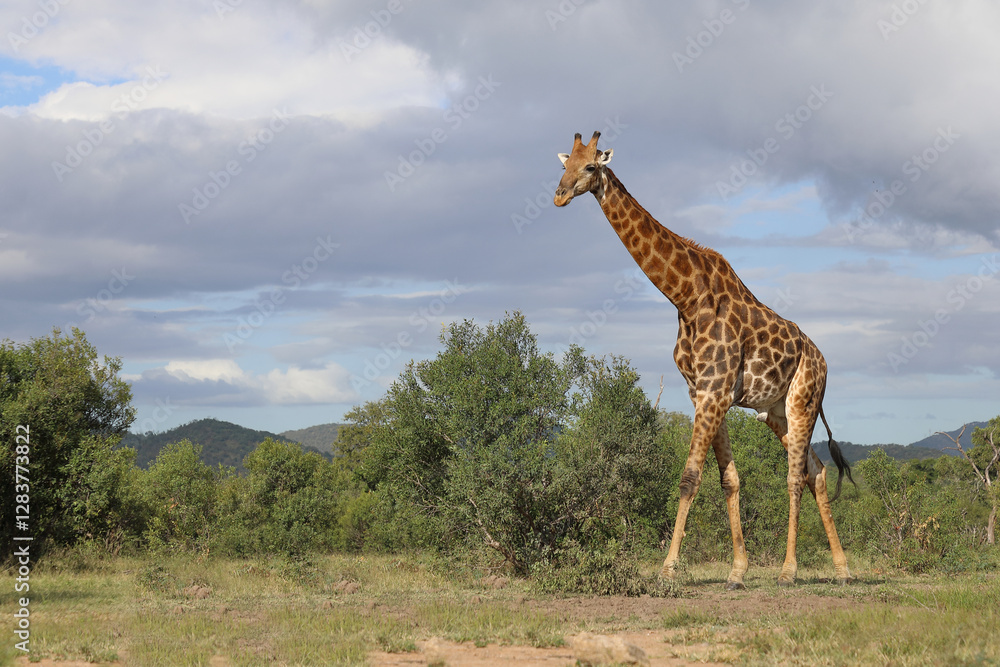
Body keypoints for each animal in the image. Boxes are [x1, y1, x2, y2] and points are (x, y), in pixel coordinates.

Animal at [554, 131, 854, 588]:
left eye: (590, 166)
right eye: (563, 164)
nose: (559, 195)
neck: (685, 296)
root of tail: (823, 363)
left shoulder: (714, 391)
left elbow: (689, 478)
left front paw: (668, 568)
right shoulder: (704, 392)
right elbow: (729, 479)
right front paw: (737, 571)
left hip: (802, 401)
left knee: (793, 477)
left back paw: (789, 571)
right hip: (775, 412)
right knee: (816, 472)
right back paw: (842, 569)